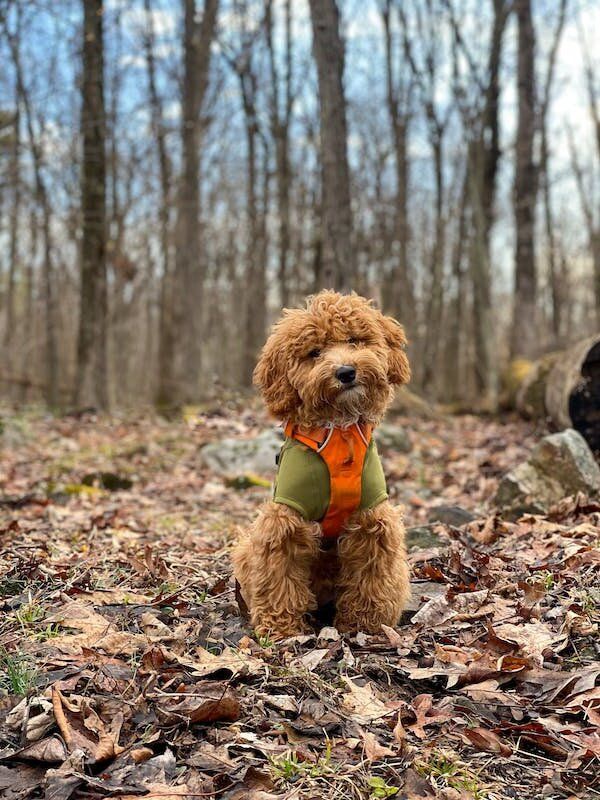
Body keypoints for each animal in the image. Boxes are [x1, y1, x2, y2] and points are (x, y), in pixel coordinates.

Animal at [232, 290, 410, 640]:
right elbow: (280, 575)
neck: (339, 434)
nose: (346, 372)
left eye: (354, 340)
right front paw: (282, 627)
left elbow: (371, 576)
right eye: (314, 353)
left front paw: (364, 624)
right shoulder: (285, 520)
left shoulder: (372, 519)